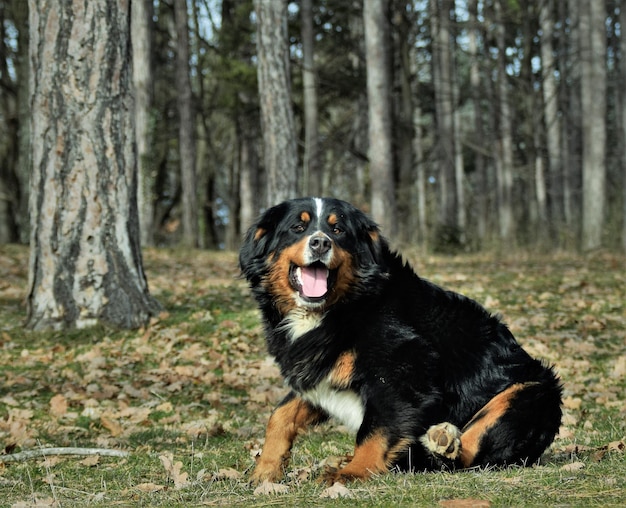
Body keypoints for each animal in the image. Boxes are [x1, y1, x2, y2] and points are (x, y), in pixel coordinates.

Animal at [238, 195, 560, 484]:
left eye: (338, 230)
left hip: (529, 392)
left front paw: (353, 472)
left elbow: (375, 428)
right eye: (297, 227)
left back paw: (442, 441)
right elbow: (280, 414)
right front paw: (266, 470)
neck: (339, 307)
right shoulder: (319, 369)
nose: (320, 242)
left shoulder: (403, 370)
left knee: (465, 454)